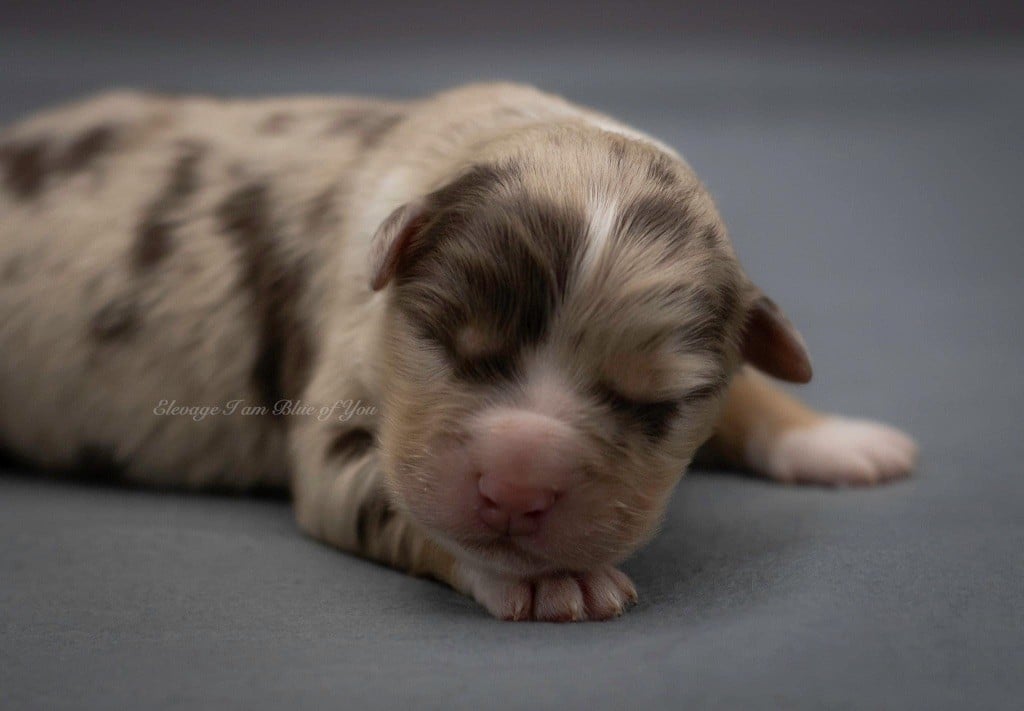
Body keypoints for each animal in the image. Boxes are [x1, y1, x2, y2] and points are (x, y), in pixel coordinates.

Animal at [0, 83, 913, 622]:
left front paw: (835, 436)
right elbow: (401, 504)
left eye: (653, 403)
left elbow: (755, 379)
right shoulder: (340, 428)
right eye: (447, 339)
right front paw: (545, 579)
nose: (519, 484)